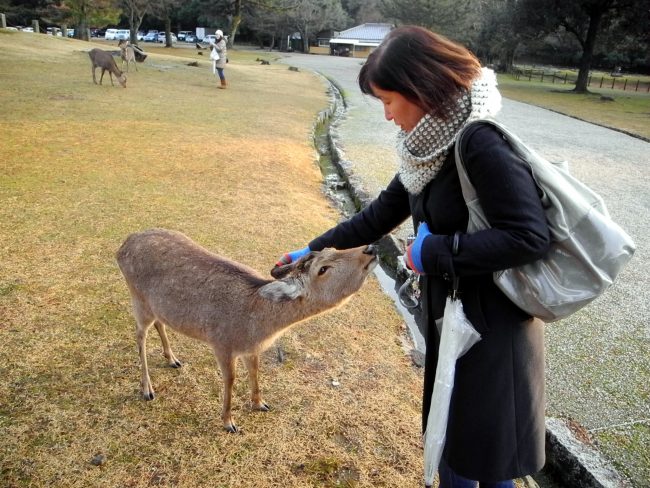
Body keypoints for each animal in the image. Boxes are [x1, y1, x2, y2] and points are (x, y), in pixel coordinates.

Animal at [116, 227, 374, 432]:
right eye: (323, 269)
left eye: (333, 248)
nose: (369, 249)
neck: (257, 326)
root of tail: (121, 247)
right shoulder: (221, 343)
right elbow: (230, 379)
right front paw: (229, 422)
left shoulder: (251, 349)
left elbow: (255, 371)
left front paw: (261, 404)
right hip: (137, 298)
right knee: (139, 336)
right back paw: (147, 389)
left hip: (154, 306)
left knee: (159, 323)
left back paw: (172, 359)